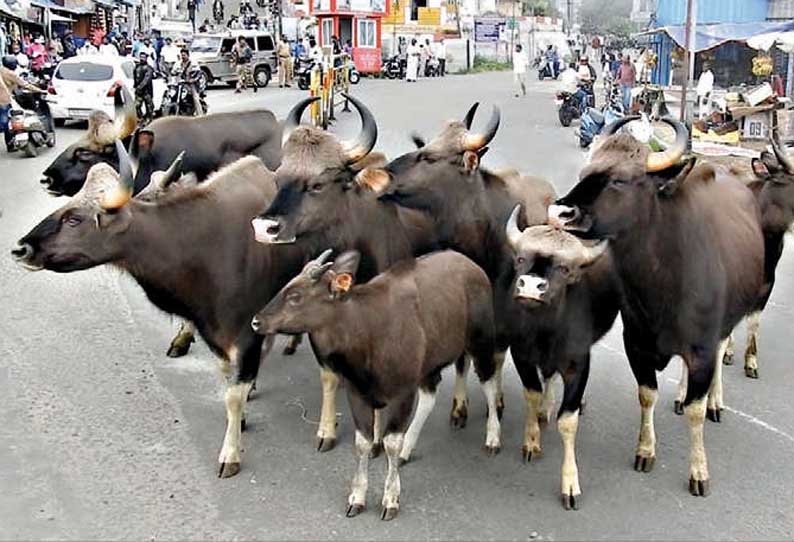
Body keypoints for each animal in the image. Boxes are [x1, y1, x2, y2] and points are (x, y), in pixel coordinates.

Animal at [252, 251, 502, 524]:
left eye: (296, 296)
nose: (256, 321)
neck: (368, 333)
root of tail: (473, 266)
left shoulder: (403, 392)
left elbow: (391, 442)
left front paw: (390, 499)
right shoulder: (357, 392)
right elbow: (362, 442)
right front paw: (357, 497)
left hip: (481, 343)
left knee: (489, 383)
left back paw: (493, 437)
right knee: (430, 396)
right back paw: (408, 448)